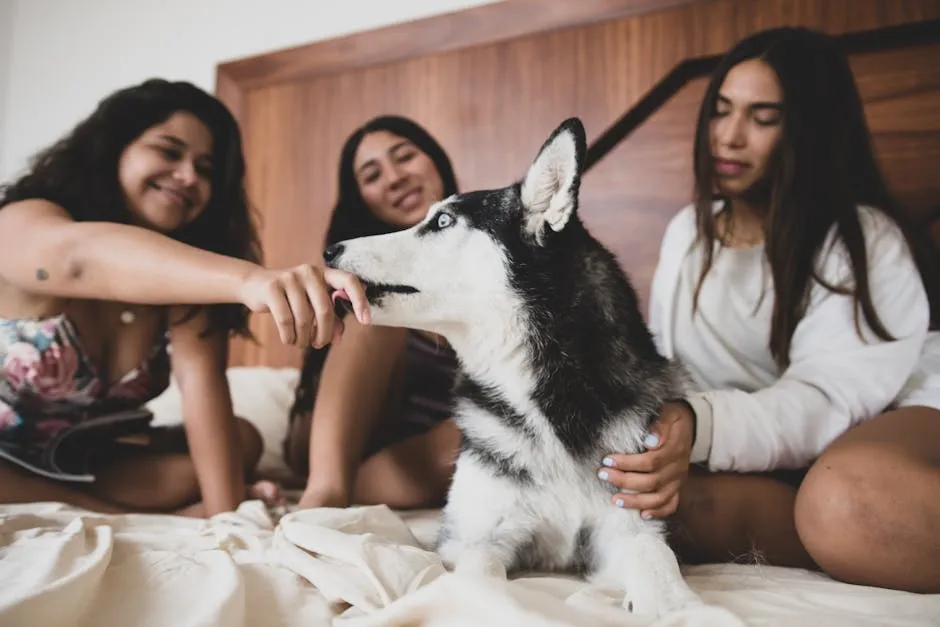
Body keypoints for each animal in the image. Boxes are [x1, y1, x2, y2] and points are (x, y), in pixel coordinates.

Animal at [326, 119, 700, 620]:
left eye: (442, 221)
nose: (330, 249)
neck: (543, 399)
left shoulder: (627, 526)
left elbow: (657, 558)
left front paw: (679, 606)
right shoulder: (472, 540)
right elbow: (480, 578)